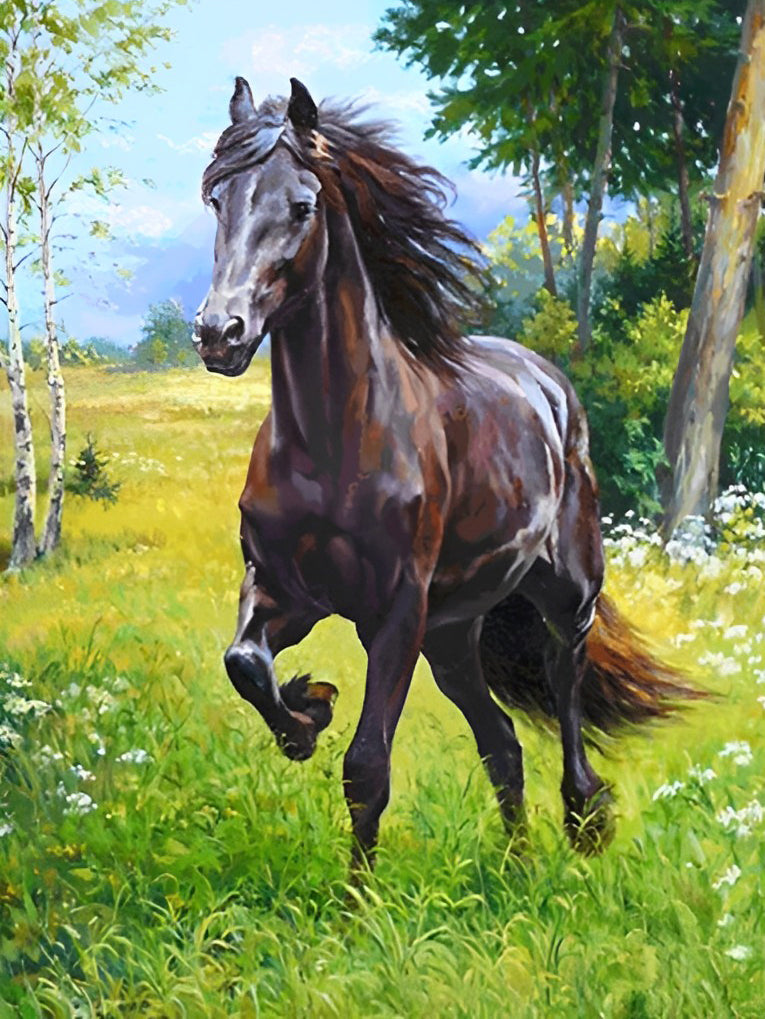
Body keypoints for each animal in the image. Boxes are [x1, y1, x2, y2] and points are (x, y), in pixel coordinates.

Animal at [194, 77, 698, 877]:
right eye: (217, 197)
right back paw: (518, 868)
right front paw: (308, 710)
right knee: (502, 743)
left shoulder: (396, 613)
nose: (219, 334)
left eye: (301, 206)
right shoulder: (283, 590)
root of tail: (548, 384)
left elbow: (366, 767)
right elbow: (244, 660)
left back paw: (584, 821)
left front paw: (356, 901)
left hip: (563, 596)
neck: (333, 443)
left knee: (564, 688)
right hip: (454, 636)